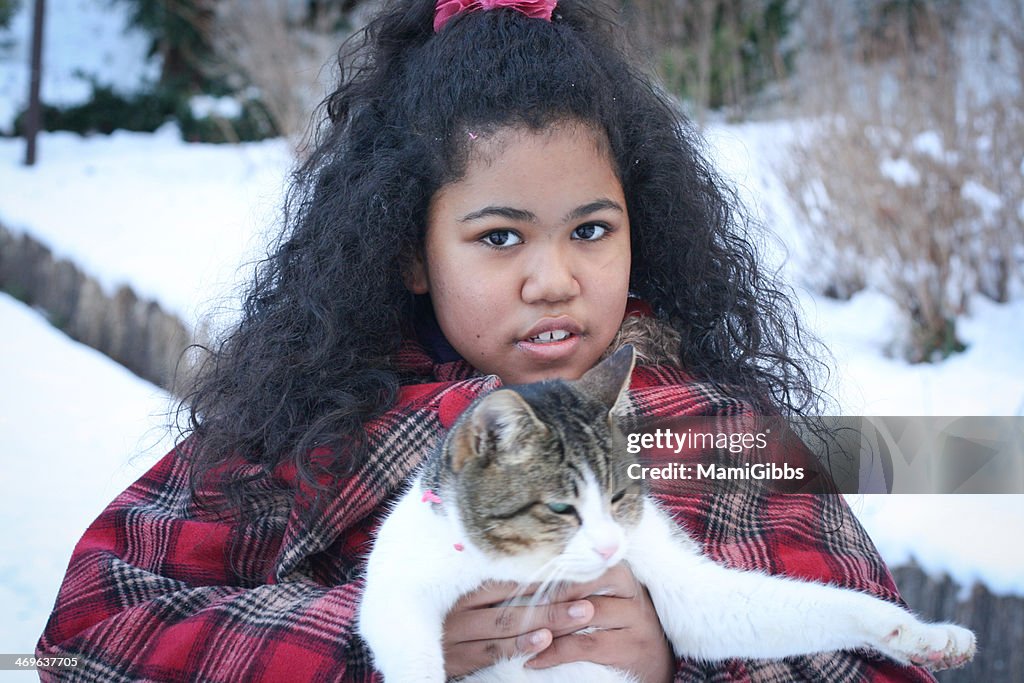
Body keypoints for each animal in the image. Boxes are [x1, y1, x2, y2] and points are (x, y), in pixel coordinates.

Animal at [360, 348, 974, 683]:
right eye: (560, 507)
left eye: (616, 497)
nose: (610, 548)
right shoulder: (398, 579)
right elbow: (404, 640)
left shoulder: (675, 580)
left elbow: (784, 607)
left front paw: (923, 636)